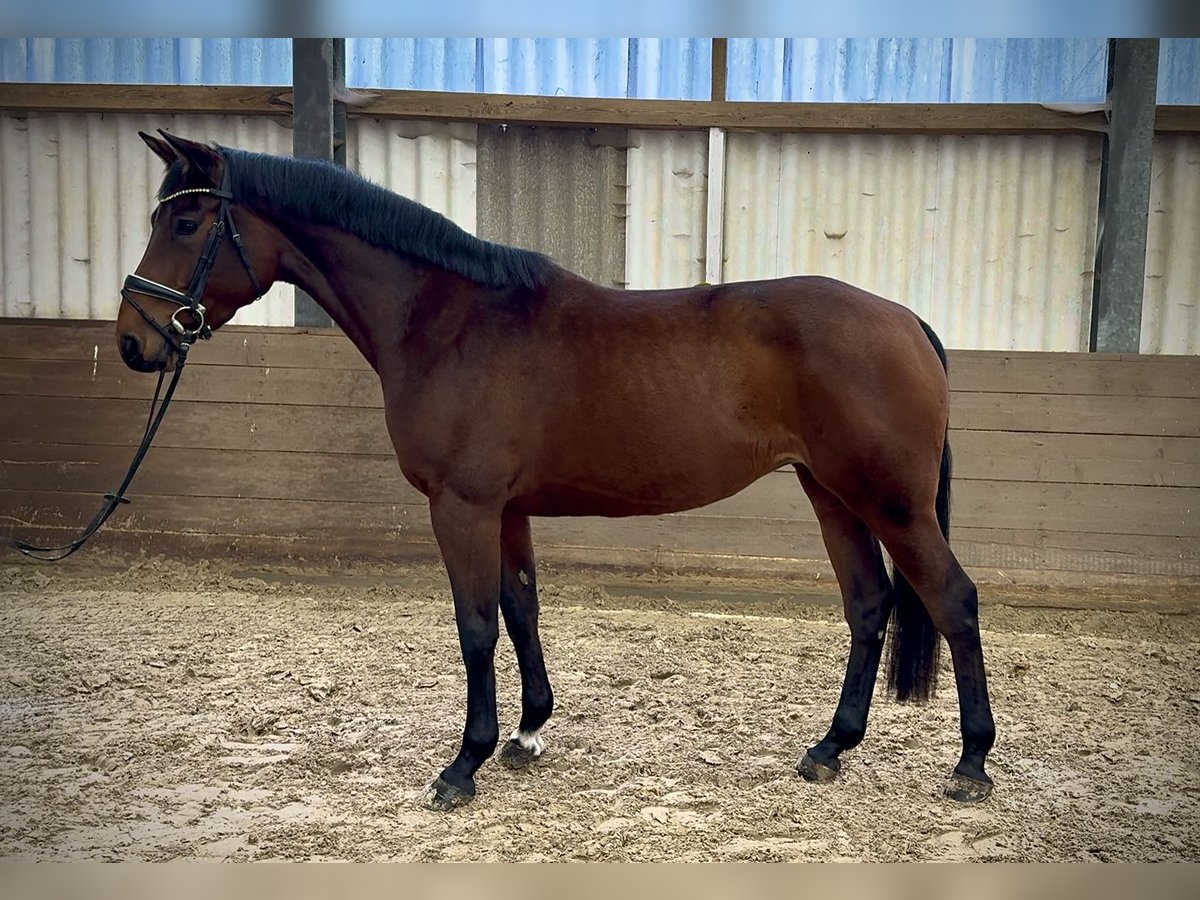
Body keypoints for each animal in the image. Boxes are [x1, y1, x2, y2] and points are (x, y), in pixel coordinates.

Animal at [115, 130, 995, 810]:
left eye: (186, 220)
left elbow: (474, 625)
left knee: (952, 599)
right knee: (870, 605)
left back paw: (971, 764)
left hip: (891, 503)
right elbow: (520, 607)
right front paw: (528, 732)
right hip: (833, 494)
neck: (450, 320)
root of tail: (906, 321)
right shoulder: (506, 509)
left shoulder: (462, 506)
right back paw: (829, 748)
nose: (133, 339)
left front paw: (462, 765)